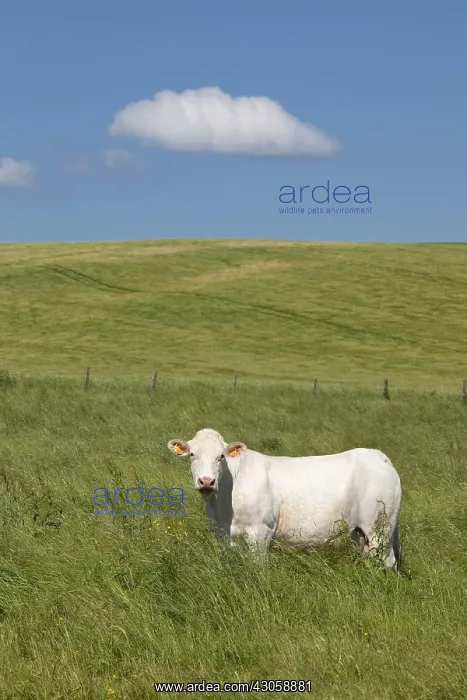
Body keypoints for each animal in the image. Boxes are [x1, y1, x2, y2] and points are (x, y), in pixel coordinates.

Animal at [167, 428, 402, 572]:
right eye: (192, 455)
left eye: (221, 456)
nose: (206, 481)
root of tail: (375, 455)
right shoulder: (222, 533)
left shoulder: (260, 532)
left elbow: (258, 565)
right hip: (360, 531)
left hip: (380, 528)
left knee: (388, 560)